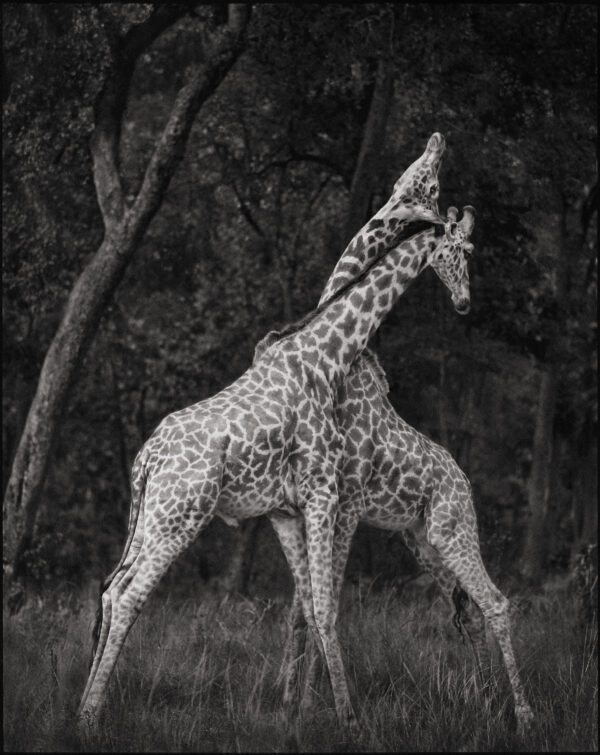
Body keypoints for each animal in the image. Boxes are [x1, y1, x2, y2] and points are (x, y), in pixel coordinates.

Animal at [78, 135, 448, 732]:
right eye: (425, 183)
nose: (438, 140)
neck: (328, 354)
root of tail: (145, 460)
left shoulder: (291, 507)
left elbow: (305, 609)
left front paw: (297, 708)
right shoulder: (325, 494)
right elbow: (319, 606)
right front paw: (334, 713)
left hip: (150, 518)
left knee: (111, 592)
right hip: (179, 516)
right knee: (129, 596)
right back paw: (90, 715)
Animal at [259, 206, 534, 735]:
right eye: (465, 250)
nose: (464, 302)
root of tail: (464, 482)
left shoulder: (343, 504)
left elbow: (323, 604)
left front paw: (311, 706)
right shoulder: (329, 505)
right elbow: (306, 607)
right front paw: (296, 705)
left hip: (453, 531)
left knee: (495, 602)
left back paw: (524, 717)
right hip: (425, 542)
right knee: (469, 612)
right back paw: (488, 704)